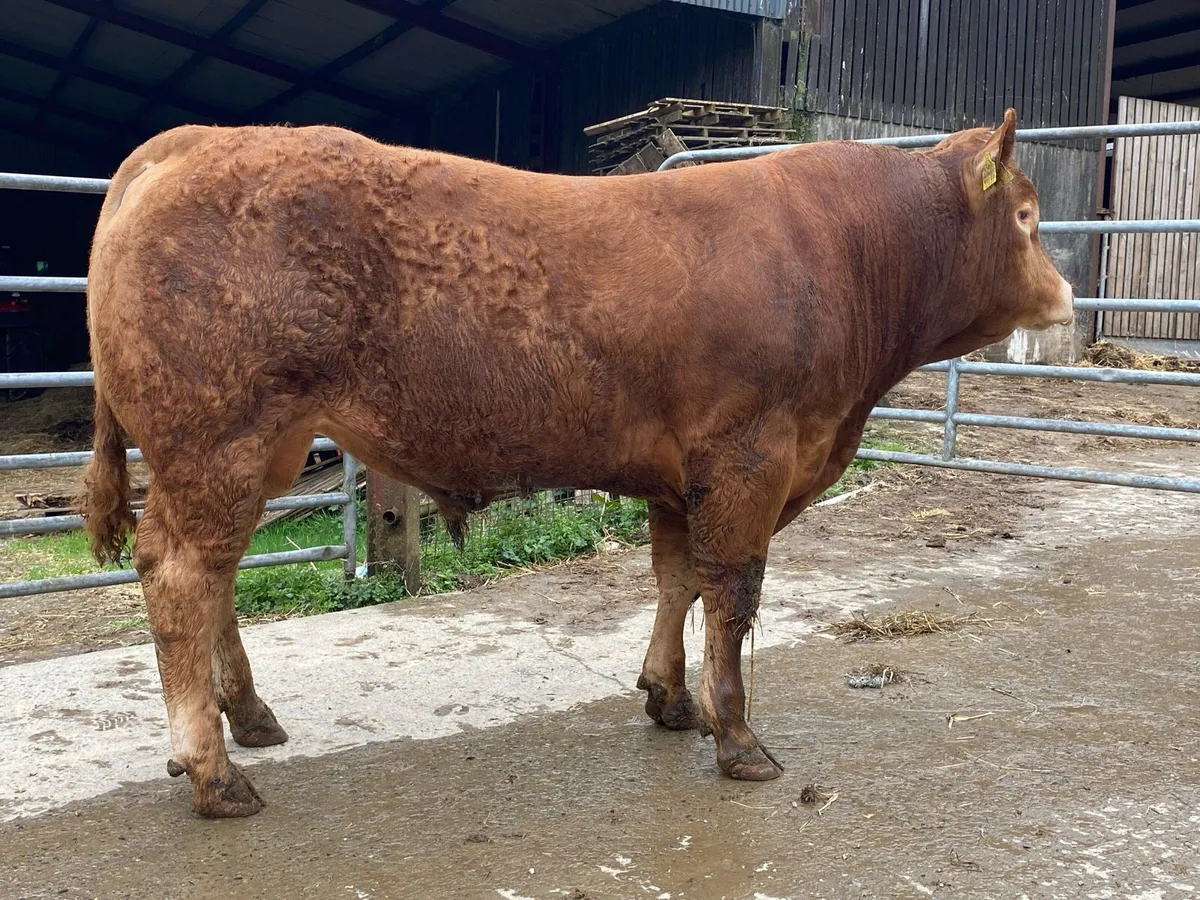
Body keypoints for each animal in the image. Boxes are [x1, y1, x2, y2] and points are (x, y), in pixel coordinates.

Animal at [82, 108, 1073, 818]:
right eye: (1027, 216)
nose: (1066, 294)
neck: (841, 252)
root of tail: (198, 140)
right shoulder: (749, 458)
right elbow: (734, 596)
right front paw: (738, 736)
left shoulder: (683, 476)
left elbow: (677, 580)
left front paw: (670, 698)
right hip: (217, 441)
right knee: (180, 573)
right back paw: (215, 774)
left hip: (254, 450)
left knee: (216, 577)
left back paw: (248, 718)